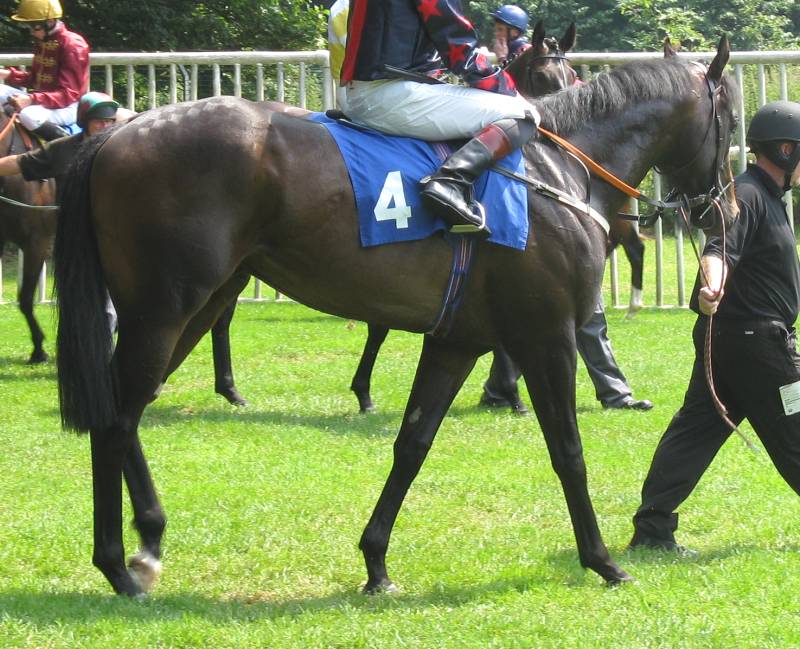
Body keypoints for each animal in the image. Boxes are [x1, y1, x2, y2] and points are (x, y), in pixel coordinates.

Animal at [53, 38, 738, 595]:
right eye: (728, 115)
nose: (723, 207)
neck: (559, 171)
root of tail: (118, 134)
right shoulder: (547, 335)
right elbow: (568, 450)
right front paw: (602, 560)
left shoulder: (456, 341)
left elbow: (412, 444)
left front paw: (376, 562)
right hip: (165, 308)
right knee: (115, 420)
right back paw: (118, 565)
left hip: (193, 305)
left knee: (128, 412)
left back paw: (147, 540)